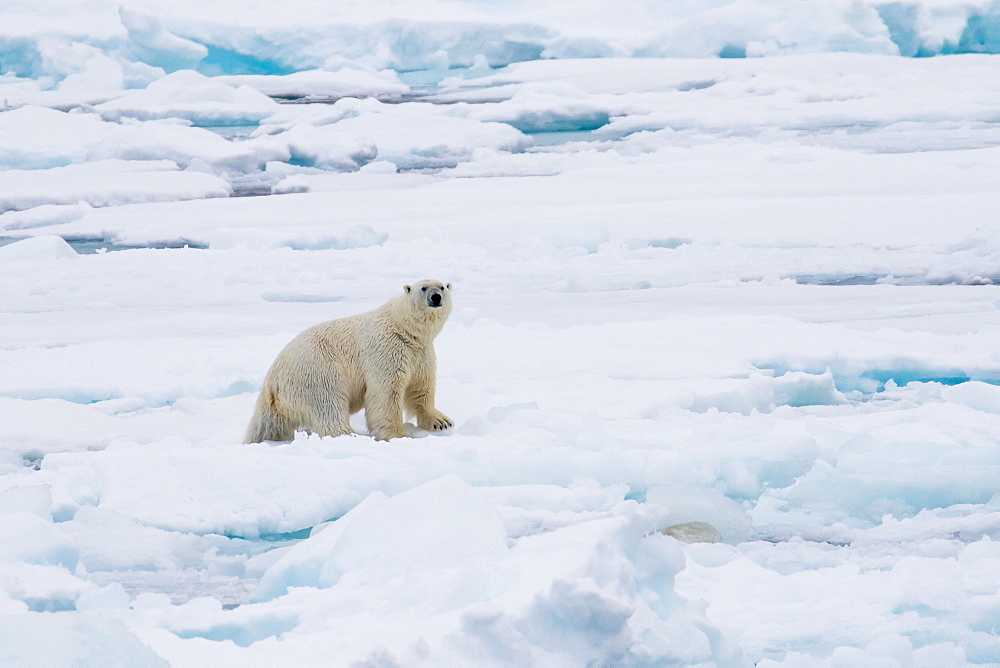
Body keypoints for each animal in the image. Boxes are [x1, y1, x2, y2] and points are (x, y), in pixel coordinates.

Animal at [245, 280, 454, 444]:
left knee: (268, 425)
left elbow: (421, 386)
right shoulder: (387, 350)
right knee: (329, 404)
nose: (436, 297)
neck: (403, 328)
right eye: (424, 288)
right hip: (317, 371)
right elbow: (386, 393)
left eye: (442, 287)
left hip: (279, 403)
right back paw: (351, 435)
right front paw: (399, 435)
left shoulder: (421, 353)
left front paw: (441, 422)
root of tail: (271, 380)